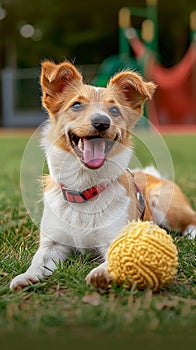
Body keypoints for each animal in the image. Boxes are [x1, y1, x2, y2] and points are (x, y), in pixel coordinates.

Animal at [9, 60, 196, 290]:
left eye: (114, 110)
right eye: (76, 105)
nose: (101, 122)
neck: (84, 189)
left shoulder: (113, 238)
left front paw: (101, 274)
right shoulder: (53, 243)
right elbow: (38, 259)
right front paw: (26, 276)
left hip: (163, 203)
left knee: (191, 220)